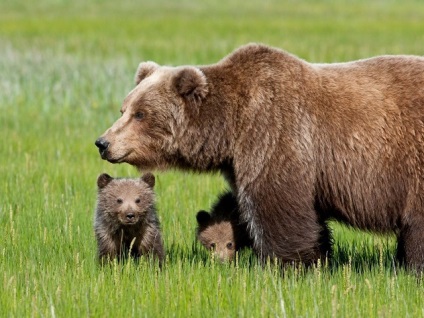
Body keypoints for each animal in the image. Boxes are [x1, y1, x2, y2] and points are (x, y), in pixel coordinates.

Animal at [95, 43, 424, 270]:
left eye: (140, 113)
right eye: (124, 108)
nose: (103, 142)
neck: (230, 127)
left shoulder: (275, 133)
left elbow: (277, 206)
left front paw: (289, 265)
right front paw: (319, 258)